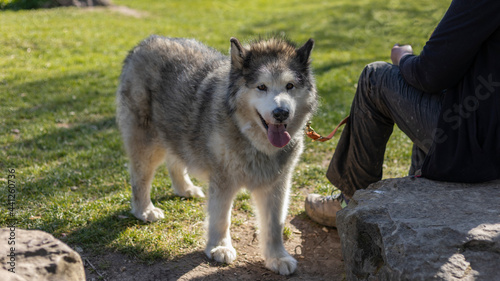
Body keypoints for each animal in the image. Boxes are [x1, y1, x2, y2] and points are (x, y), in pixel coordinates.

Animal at [116, 35, 316, 274]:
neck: (252, 141)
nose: (281, 113)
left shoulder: (277, 184)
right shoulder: (223, 181)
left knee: (175, 160)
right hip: (147, 145)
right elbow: (221, 218)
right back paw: (144, 210)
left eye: (289, 86)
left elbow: (274, 224)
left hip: (176, 133)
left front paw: (277, 257)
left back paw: (184, 189)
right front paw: (219, 247)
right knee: (140, 179)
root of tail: (147, 42)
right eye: (261, 87)